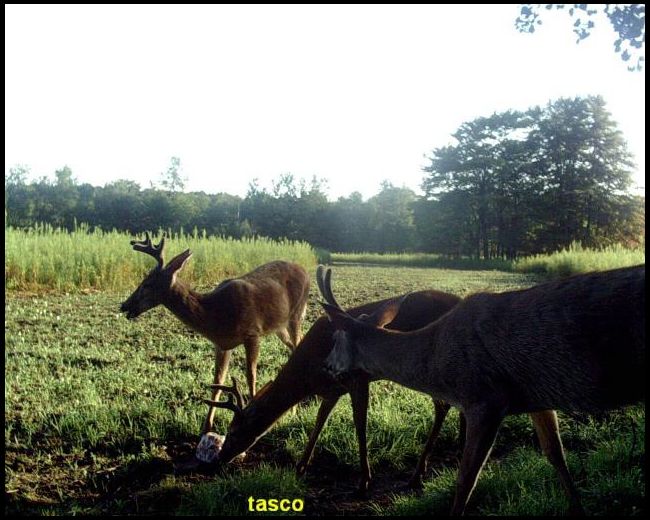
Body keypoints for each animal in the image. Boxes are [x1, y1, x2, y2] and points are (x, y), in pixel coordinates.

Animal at [119, 234, 312, 436]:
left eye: (147, 284)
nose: (124, 305)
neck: (215, 313)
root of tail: (304, 270)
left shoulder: (253, 333)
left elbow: (251, 375)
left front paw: (252, 420)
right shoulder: (221, 344)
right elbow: (217, 382)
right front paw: (206, 428)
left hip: (296, 314)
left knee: (297, 343)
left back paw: (294, 408)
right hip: (279, 328)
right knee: (294, 346)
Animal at [209, 266, 584, 506]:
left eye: (236, 428)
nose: (219, 459)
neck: (308, 369)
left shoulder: (356, 378)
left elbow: (360, 426)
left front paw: (364, 481)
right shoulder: (332, 386)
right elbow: (319, 419)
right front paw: (302, 466)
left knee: (447, 405)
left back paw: (426, 469)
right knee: (447, 406)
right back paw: (435, 462)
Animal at [322, 264, 640, 516]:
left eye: (335, 339)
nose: (327, 366)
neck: (435, 361)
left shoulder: (485, 399)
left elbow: (465, 481)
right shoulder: (537, 398)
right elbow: (556, 455)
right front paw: (577, 509)